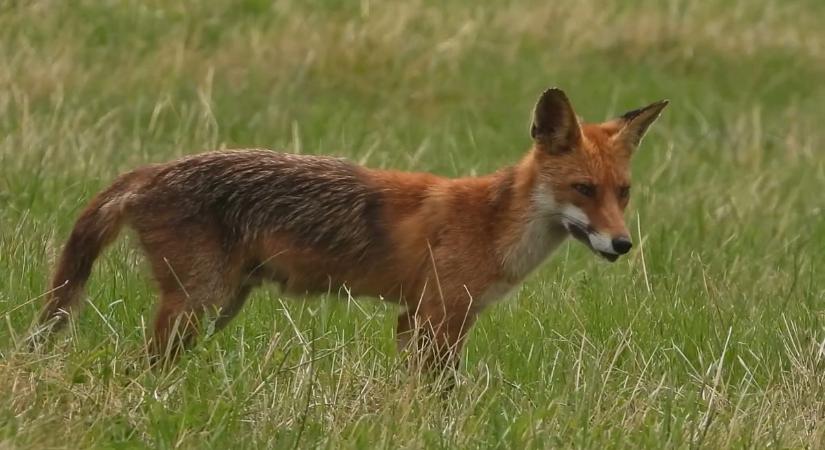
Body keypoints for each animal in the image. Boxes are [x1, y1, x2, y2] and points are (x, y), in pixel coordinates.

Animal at [33, 88, 664, 372]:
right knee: (135, 367)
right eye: (583, 189)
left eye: (623, 192)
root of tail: (153, 170)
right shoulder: (438, 316)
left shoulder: (421, 318)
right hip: (197, 301)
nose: (622, 244)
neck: (493, 224)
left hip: (211, 305)